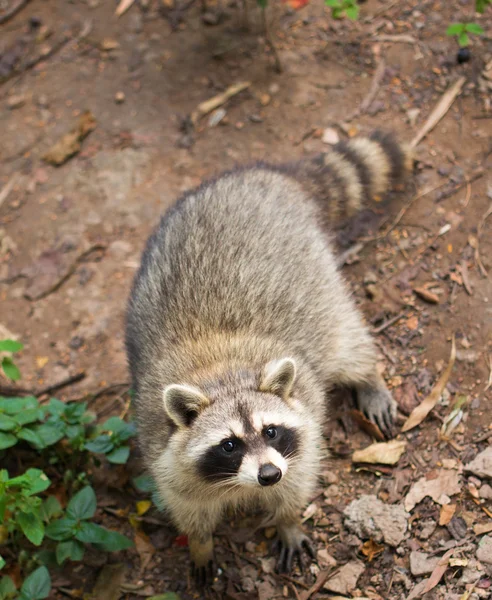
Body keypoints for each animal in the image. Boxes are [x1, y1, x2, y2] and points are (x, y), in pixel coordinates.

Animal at [126, 131, 412, 584]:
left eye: (272, 431)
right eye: (229, 444)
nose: (268, 474)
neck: (222, 375)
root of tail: (264, 176)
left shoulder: (304, 432)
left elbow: (298, 481)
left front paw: (288, 520)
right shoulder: (162, 450)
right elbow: (189, 509)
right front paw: (201, 545)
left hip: (320, 281)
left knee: (346, 341)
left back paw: (368, 376)